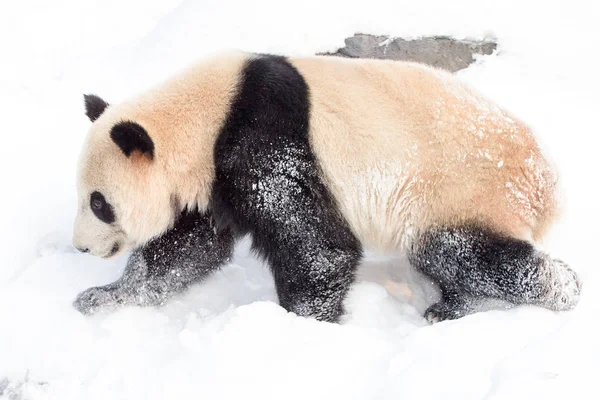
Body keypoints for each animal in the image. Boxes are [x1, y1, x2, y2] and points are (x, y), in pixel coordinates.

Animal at [70, 50, 580, 322]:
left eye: (99, 203)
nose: (81, 248)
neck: (207, 114)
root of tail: (547, 185)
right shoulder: (214, 181)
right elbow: (185, 250)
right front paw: (104, 297)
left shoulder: (265, 142)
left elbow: (317, 247)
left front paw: (301, 324)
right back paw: (457, 303)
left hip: (464, 189)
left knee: (461, 250)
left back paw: (552, 290)